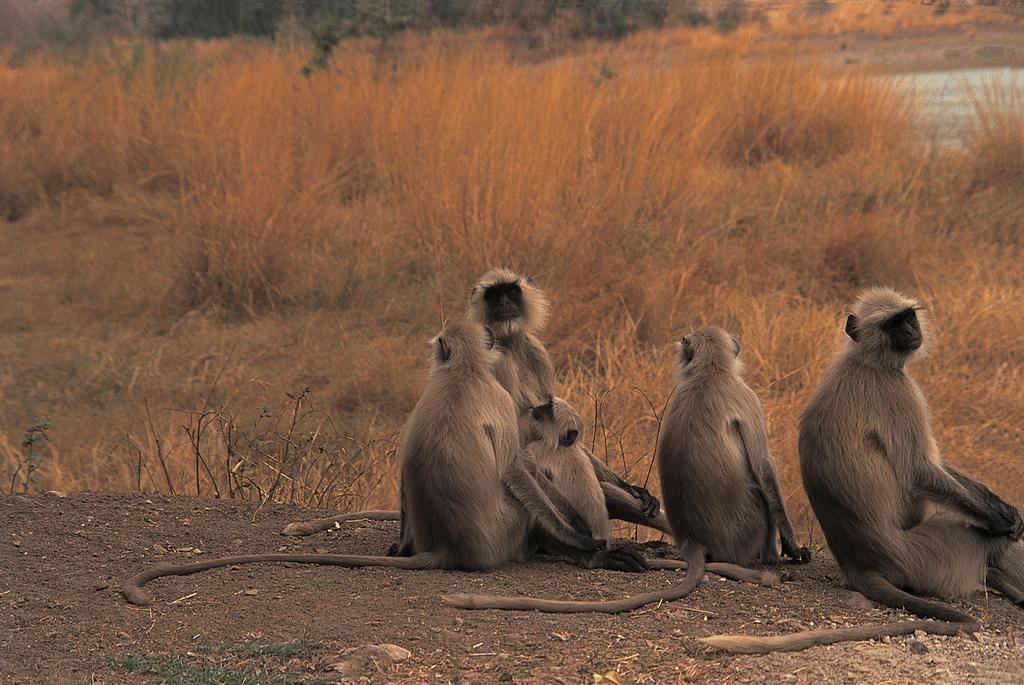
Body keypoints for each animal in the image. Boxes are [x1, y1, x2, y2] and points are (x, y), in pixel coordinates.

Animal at [121, 317, 647, 606]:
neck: (462, 371)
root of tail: (450, 548)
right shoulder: (499, 398)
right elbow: (517, 470)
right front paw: (586, 539)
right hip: (509, 534)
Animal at [700, 288, 1024, 651]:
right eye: (894, 323)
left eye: (908, 317)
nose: (911, 330)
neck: (867, 360)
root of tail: (859, 562)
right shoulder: (898, 392)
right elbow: (920, 472)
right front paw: (1001, 520)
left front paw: (1004, 508)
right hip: (934, 553)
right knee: (990, 542)